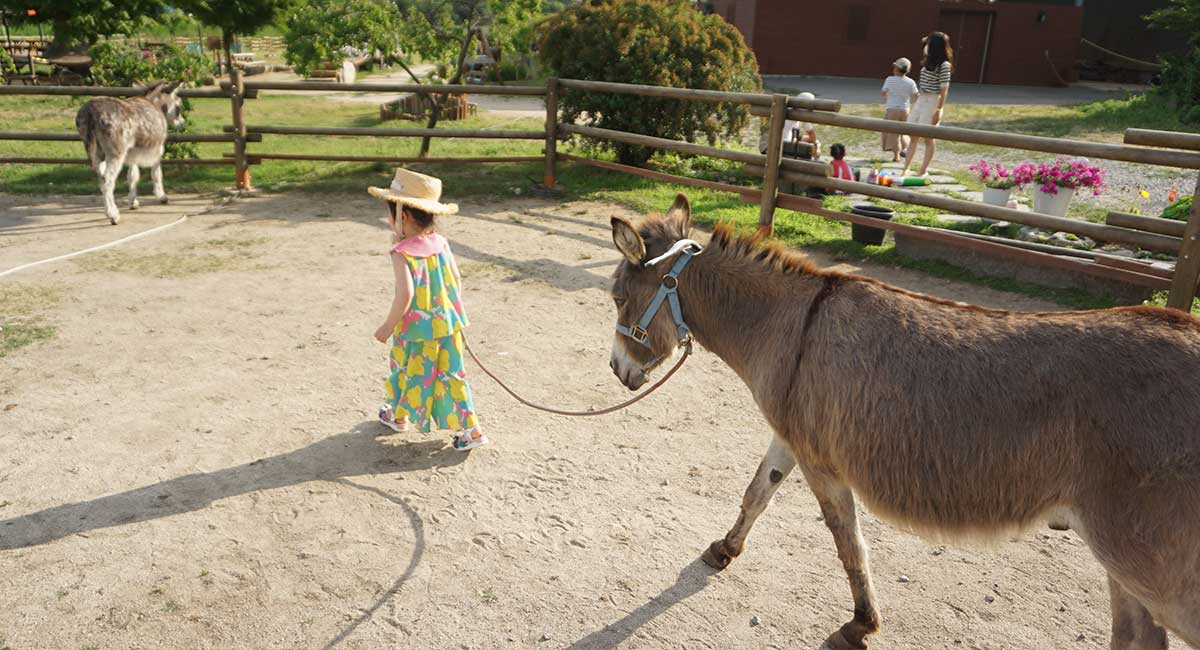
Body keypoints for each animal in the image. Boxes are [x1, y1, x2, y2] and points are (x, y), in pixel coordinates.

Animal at [75, 81, 185, 225]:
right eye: (178, 105)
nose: (182, 123)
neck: (155, 104)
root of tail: (91, 112)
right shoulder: (158, 149)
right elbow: (156, 174)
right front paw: (162, 196)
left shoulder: (133, 152)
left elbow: (132, 175)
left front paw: (133, 202)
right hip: (116, 152)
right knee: (108, 181)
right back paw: (113, 215)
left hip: (95, 152)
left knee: (101, 179)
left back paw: (110, 210)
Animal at [607, 193, 1200, 649]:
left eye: (615, 298)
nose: (616, 370)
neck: (786, 324)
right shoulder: (791, 436)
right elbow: (757, 492)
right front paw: (724, 550)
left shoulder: (823, 462)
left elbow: (848, 541)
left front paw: (861, 625)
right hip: (1127, 566)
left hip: (1154, 565)